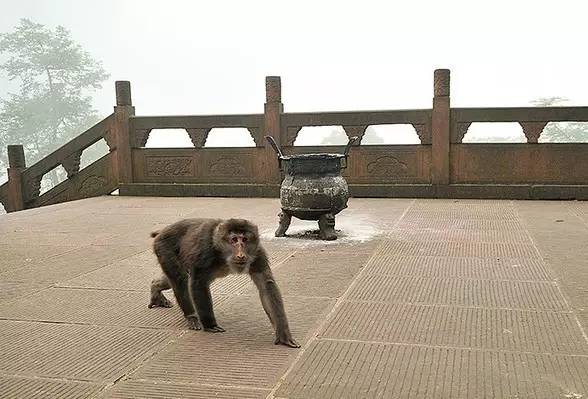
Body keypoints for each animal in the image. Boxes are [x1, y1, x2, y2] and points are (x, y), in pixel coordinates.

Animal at [146, 217, 300, 348]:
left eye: (245, 239)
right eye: (234, 240)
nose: (241, 253)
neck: (223, 252)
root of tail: (162, 231)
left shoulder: (257, 252)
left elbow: (266, 285)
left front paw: (283, 334)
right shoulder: (205, 251)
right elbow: (198, 283)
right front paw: (210, 324)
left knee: (175, 278)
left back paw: (155, 288)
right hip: (164, 248)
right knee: (180, 278)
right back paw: (191, 316)